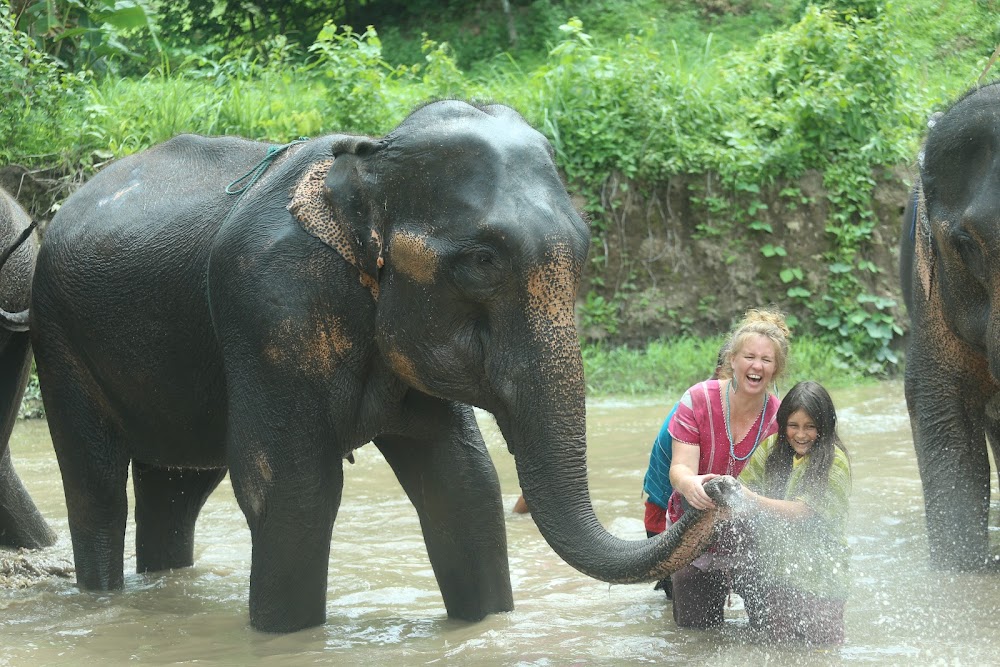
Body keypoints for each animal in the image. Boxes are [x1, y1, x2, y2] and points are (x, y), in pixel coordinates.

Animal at [31, 102, 740, 636]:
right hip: (55, 331)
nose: (717, 486)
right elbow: (292, 490)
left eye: (587, 250)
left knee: (176, 488)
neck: (368, 160)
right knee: (96, 483)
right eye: (481, 261)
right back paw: (103, 595)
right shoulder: (270, 303)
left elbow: (463, 483)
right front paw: (284, 637)